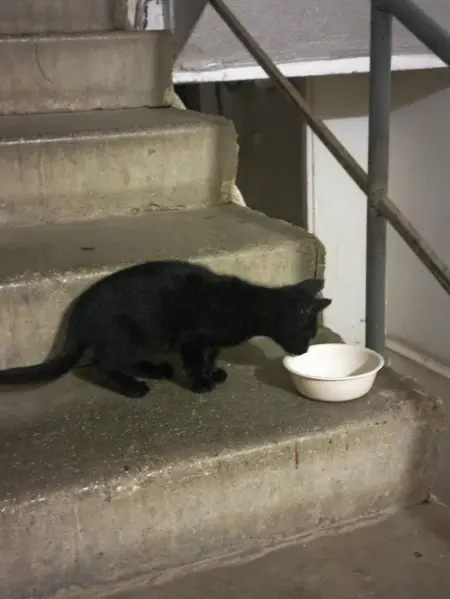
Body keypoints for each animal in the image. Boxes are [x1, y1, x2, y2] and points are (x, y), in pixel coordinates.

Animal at [0, 260, 331, 398]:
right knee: (104, 364)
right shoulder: (192, 340)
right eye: (308, 334)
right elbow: (196, 362)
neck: (247, 306)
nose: (304, 350)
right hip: (125, 334)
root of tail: (78, 310)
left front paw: (214, 373)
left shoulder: (210, 343)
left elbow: (209, 358)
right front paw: (201, 383)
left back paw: (156, 369)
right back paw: (134, 387)